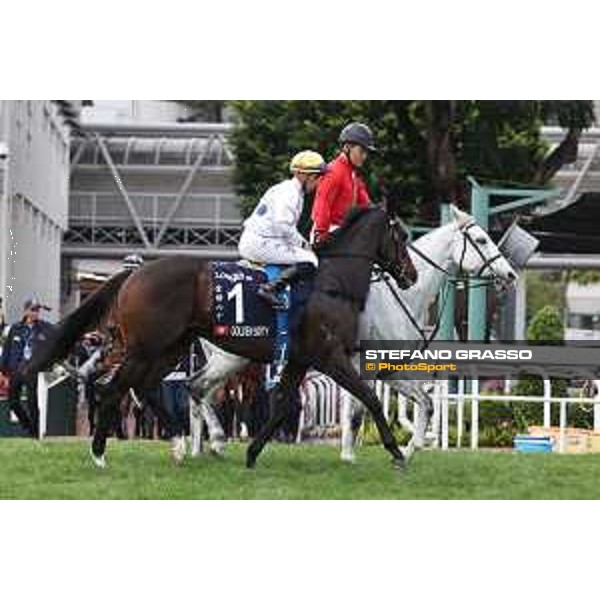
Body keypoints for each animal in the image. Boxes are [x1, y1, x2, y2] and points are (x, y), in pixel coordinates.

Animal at [28, 206, 418, 468]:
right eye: (401, 237)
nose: (411, 275)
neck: (332, 284)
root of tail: (135, 273)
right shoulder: (330, 355)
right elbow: (370, 397)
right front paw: (397, 452)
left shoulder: (299, 359)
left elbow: (283, 407)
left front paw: (252, 452)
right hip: (147, 348)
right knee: (116, 389)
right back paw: (100, 454)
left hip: (170, 348)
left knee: (149, 387)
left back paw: (180, 445)